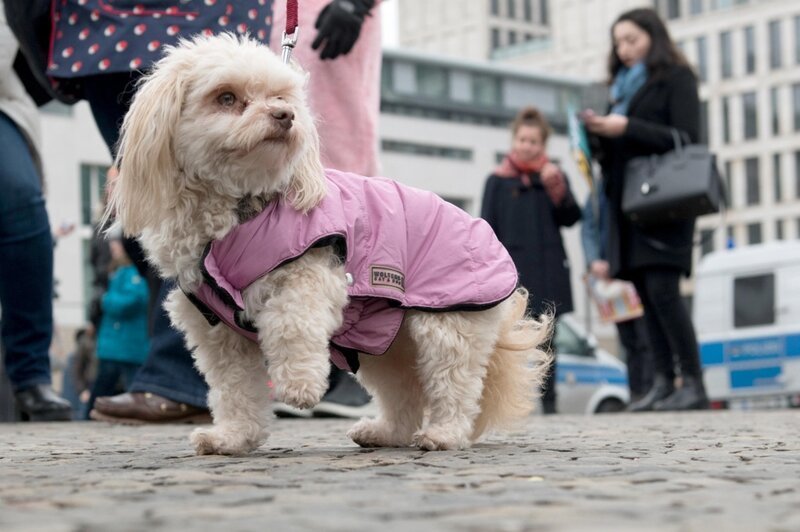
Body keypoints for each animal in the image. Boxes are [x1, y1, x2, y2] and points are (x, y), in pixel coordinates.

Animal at [109, 33, 552, 456]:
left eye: (281, 98)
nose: (285, 116)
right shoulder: (218, 330)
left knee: (454, 386)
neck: (241, 208)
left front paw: (300, 387)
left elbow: (291, 325)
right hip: (384, 345)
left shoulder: (309, 275)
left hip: (445, 325)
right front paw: (233, 438)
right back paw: (386, 432)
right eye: (227, 98)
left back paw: (444, 434)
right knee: (405, 392)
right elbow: (235, 390)